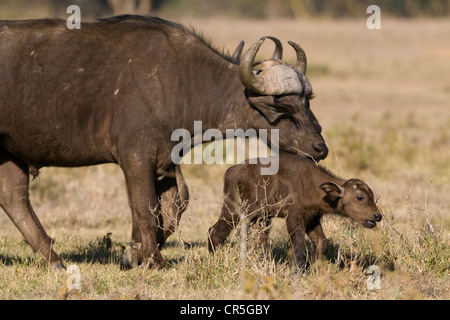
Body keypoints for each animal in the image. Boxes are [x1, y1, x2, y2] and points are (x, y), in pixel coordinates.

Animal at [0, 15, 326, 270]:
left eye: (308, 101)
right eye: (284, 108)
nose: (320, 148)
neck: (181, 82)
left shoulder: (167, 160)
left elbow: (174, 205)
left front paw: (134, 254)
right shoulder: (135, 157)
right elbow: (146, 206)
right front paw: (153, 259)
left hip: (9, 154)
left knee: (14, 198)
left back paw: (54, 260)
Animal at [209, 154, 382, 268]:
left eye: (372, 196)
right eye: (360, 197)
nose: (377, 215)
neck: (314, 187)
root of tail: (230, 171)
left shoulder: (312, 219)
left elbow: (322, 243)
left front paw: (315, 266)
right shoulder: (294, 219)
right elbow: (299, 249)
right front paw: (301, 270)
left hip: (262, 218)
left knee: (259, 241)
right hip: (233, 212)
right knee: (215, 231)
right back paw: (215, 260)